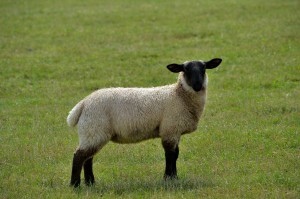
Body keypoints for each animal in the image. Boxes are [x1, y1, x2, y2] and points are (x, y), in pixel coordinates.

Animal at [68, 57, 223, 187]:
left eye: (204, 68)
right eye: (185, 69)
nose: (197, 85)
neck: (179, 95)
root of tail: (83, 104)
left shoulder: (175, 131)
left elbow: (176, 154)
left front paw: (174, 178)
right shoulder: (170, 129)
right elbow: (170, 155)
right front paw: (168, 179)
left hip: (92, 132)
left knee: (88, 159)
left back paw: (90, 183)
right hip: (94, 130)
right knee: (79, 156)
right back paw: (75, 185)